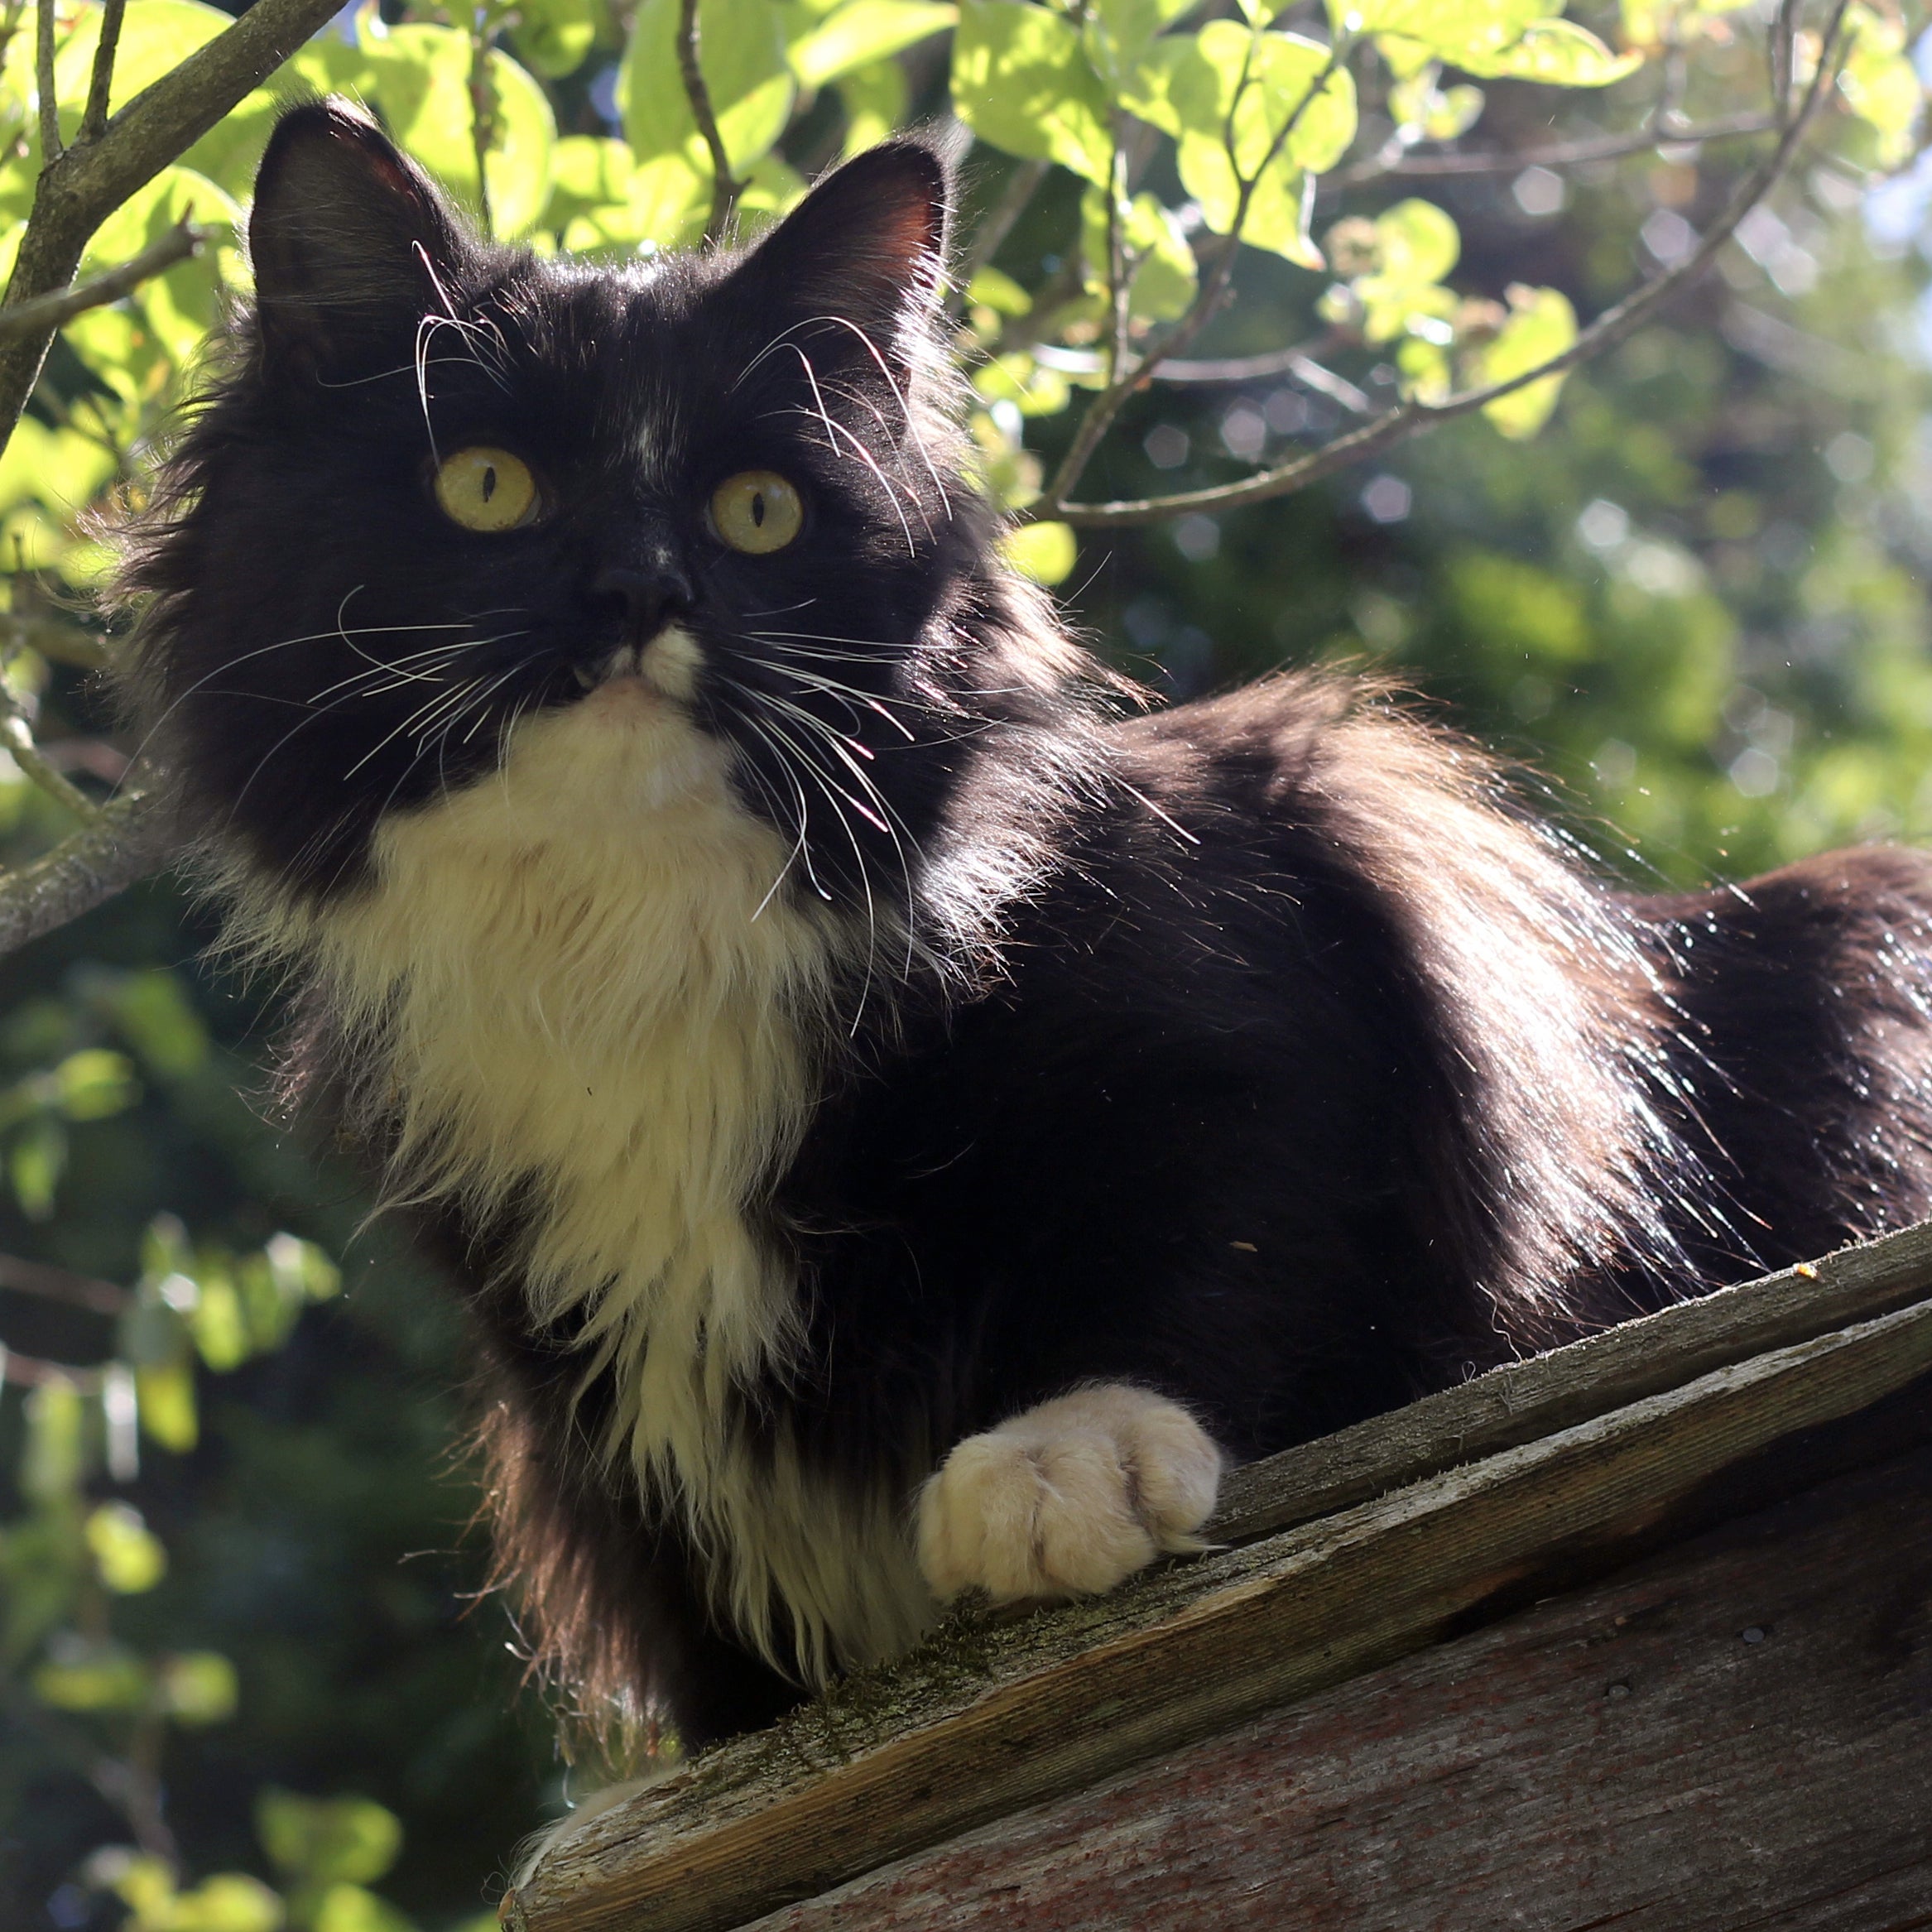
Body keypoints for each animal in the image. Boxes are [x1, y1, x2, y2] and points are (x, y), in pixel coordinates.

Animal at [113, 94, 1932, 1754]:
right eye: (486, 486)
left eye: (758, 511)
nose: (639, 597)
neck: (631, 934)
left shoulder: (1289, 901)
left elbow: (1212, 1213)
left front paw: (1062, 1467)